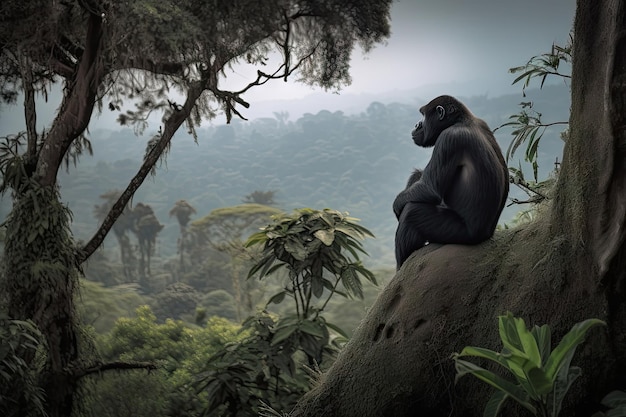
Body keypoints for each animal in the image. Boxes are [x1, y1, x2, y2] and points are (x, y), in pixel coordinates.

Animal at [392, 94, 510, 268]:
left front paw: (396, 206)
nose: (417, 124)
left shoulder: (449, 139)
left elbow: (429, 189)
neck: (461, 120)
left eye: (423, 115)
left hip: (455, 232)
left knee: (412, 212)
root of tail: (487, 235)